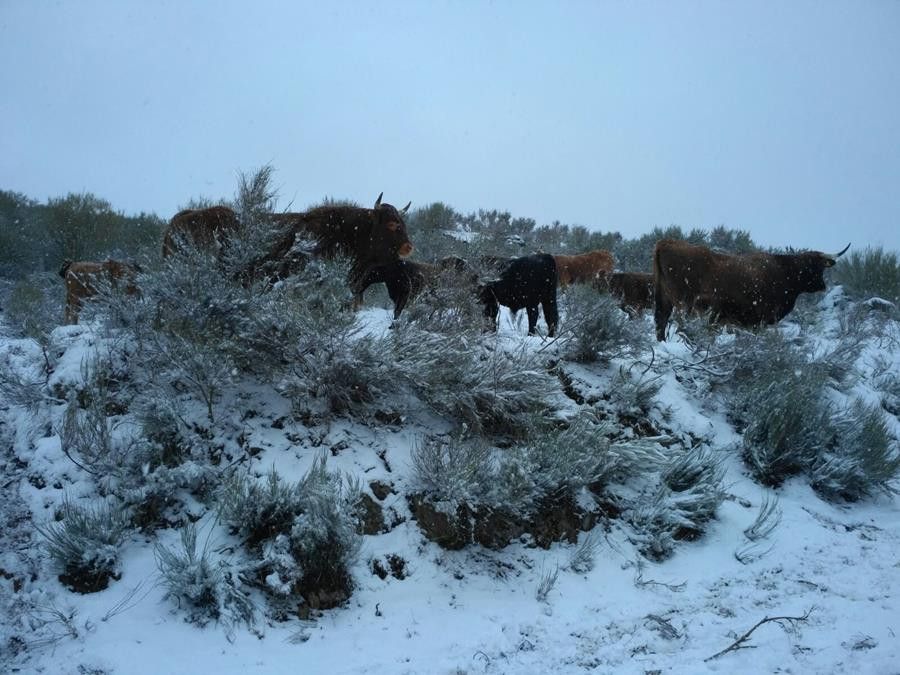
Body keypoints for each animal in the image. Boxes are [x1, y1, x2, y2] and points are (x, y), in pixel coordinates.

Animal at [652, 239, 848, 344]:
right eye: (810, 267)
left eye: (819, 266)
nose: (822, 285)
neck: (784, 272)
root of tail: (666, 242)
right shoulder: (760, 318)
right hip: (684, 302)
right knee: (680, 324)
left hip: (664, 299)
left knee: (661, 322)